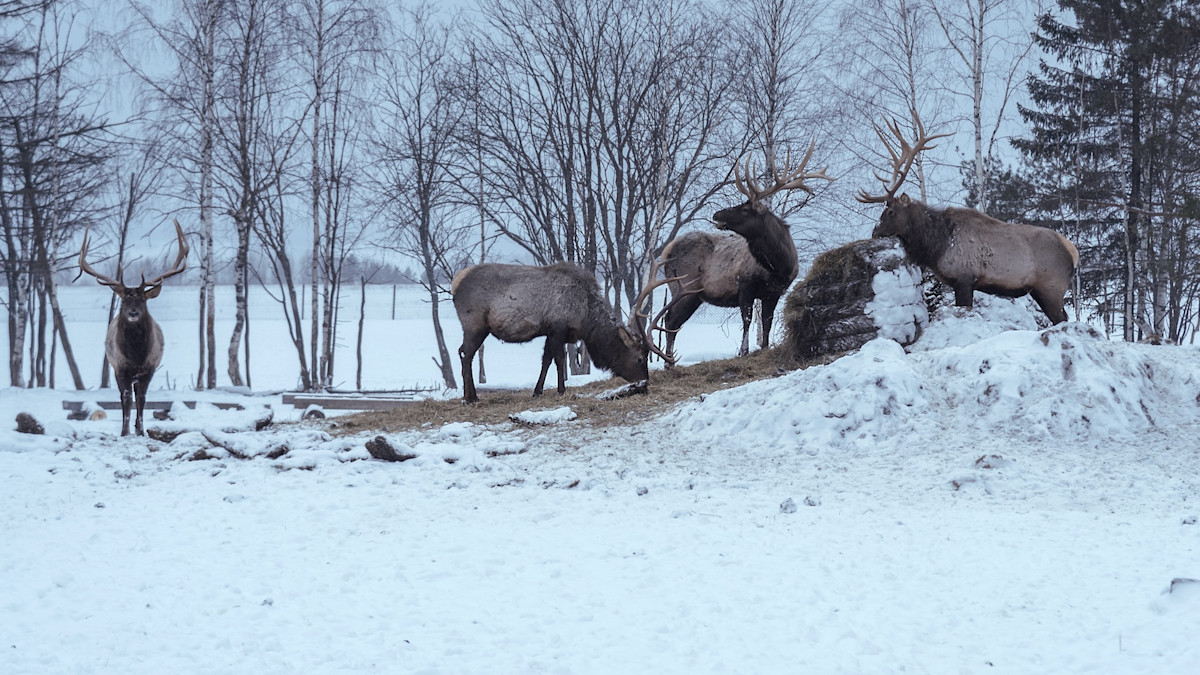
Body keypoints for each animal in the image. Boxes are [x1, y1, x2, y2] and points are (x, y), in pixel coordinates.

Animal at [78, 220, 189, 436]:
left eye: (142, 300)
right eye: (124, 301)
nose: (133, 313)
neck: (137, 354)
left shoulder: (150, 368)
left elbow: (142, 399)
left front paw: (140, 430)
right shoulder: (120, 368)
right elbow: (126, 398)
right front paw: (124, 431)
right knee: (125, 397)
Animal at [451, 260, 685, 403]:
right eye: (639, 358)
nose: (645, 384)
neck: (585, 319)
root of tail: (455, 282)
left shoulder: (553, 331)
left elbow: (549, 359)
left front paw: (543, 391)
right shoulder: (557, 327)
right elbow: (557, 359)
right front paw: (556, 390)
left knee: (463, 352)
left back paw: (469, 395)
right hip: (475, 323)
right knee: (466, 353)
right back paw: (471, 397)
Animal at [659, 141, 833, 362]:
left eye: (744, 209)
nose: (717, 214)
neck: (778, 266)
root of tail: (666, 251)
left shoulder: (774, 292)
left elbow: (767, 320)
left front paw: (764, 347)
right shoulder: (744, 284)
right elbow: (747, 318)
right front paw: (743, 352)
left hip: (692, 294)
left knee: (673, 321)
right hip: (682, 286)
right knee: (670, 319)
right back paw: (668, 361)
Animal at [856, 109, 1079, 324]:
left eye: (890, 212)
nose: (875, 232)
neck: (937, 245)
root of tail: (1073, 251)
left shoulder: (964, 279)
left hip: (1051, 287)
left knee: (1061, 319)